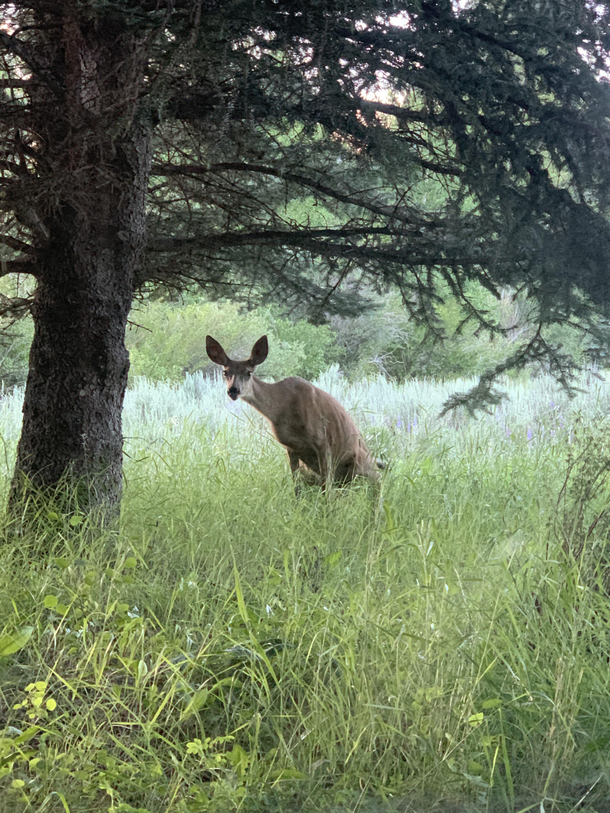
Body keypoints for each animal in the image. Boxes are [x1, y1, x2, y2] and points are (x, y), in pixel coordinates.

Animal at [207, 334, 380, 488]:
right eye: (225, 372)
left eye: (249, 372)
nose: (233, 390)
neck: (283, 409)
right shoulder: (290, 447)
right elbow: (297, 488)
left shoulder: (322, 440)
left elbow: (327, 490)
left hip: (360, 463)